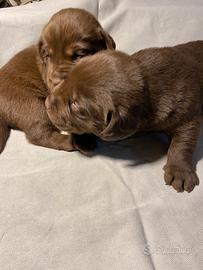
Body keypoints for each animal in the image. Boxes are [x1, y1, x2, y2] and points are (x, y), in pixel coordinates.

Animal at [45, 40, 203, 192]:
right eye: (66, 79)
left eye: (75, 104)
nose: (46, 103)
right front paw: (82, 139)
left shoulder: (188, 112)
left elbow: (183, 142)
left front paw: (179, 171)